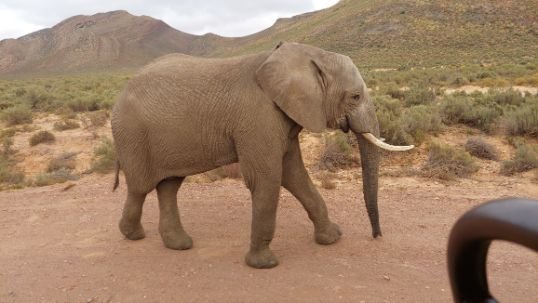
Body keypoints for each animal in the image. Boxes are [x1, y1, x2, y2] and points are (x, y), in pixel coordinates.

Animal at [111, 42, 412, 268]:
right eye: (355, 97)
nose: (376, 236)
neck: (308, 54)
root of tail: (121, 92)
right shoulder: (258, 117)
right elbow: (266, 178)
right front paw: (264, 263)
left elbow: (294, 175)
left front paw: (332, 238)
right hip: (133, 134)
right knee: (140, 187)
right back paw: (133, 235)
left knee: (169, 186)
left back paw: (179, 245)